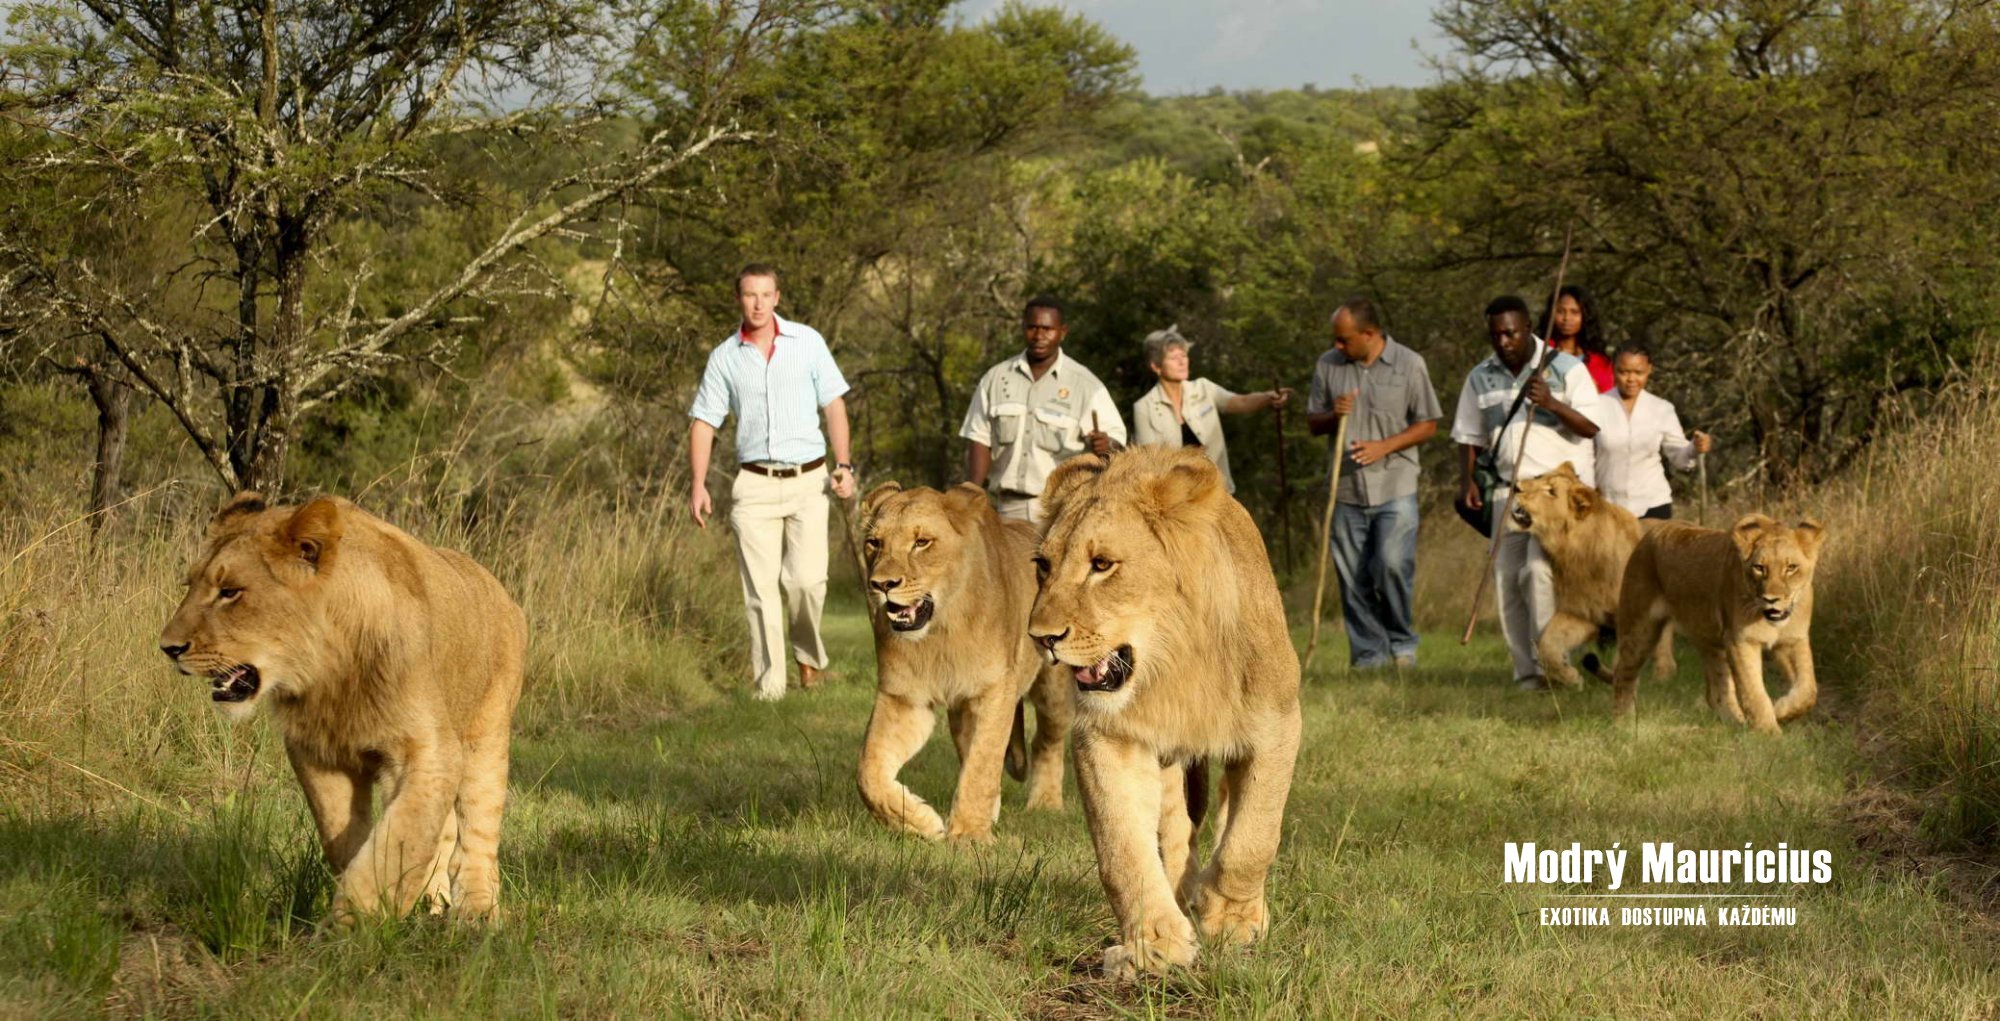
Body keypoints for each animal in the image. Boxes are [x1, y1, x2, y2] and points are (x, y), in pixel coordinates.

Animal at [158, 492, 527, 922]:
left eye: (230, 591)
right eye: (191, 585)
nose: (168, 648)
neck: (331, 674)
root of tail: (501, 590)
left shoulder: (429, 750)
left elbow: (398, 837)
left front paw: (356, 918)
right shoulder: (319, 754)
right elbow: (350, 838)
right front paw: (375, 904)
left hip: (486, 738)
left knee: (477, 831)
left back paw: (478, 911)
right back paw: (432, 901)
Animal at [855, 482, 1072, 843]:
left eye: (921, 542)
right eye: (874, 543)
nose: (882, 585)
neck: (939, 633)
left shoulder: (994, 692)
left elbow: (983, 764)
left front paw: (969, 834)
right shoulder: (904, 698)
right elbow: (868, 770)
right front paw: (921, 822)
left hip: (1053, 694)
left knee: (1046, 742)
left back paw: (1046, 804)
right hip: (960, 711)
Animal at [1026, 446, 1301, 980]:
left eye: (1102, 564)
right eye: (1043, 566)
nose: (1041, 638)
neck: (1175, 666)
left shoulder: (1278, 725)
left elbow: (1252, 837)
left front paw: (1231, 919)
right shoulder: (1109, 737)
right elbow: (1122, 848)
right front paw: (1154, 942)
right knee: (1176, 833)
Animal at [1507, 462, 1674, 688]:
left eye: (1551, 492)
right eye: (1539, 476)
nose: (1516, 487)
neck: (1577, 553)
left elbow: (1622, 658)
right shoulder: (1580, 613)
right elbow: (1547, 646)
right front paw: (1571, 678)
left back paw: (1662, 678)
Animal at [1609, 514, 1826, 734]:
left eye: (1791, 568)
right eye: (1759, 568)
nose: (1771, 599)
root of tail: (1653, 531)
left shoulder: (1793, 640)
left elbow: (1808, 690)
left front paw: (1781, 711)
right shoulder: (1741, 640)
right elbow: (1753, 691)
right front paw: (1768, 731)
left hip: (1712, 643)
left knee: (1716, 693)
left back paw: (1737, 724)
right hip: (1640, 629)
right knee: (1623, 674)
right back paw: (1623, 723)